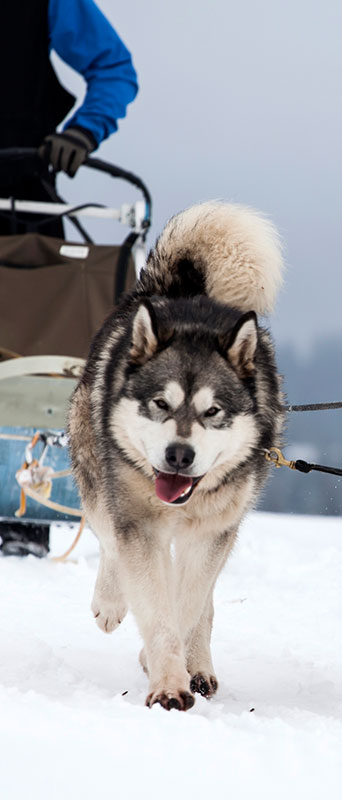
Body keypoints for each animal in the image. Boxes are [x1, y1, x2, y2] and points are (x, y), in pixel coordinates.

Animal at [68, 203, 284, 708]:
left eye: (213, 411)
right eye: (160, 404)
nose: (179, 456)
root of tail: (178, 289)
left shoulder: (209, 535)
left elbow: (186, 606)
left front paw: (170, 667)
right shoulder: (139, 527)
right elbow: (153, 596)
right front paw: (167, 682)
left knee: (203, 599)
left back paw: (199, 667)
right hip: (97, 477)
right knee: (109, 541)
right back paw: (110, 602)